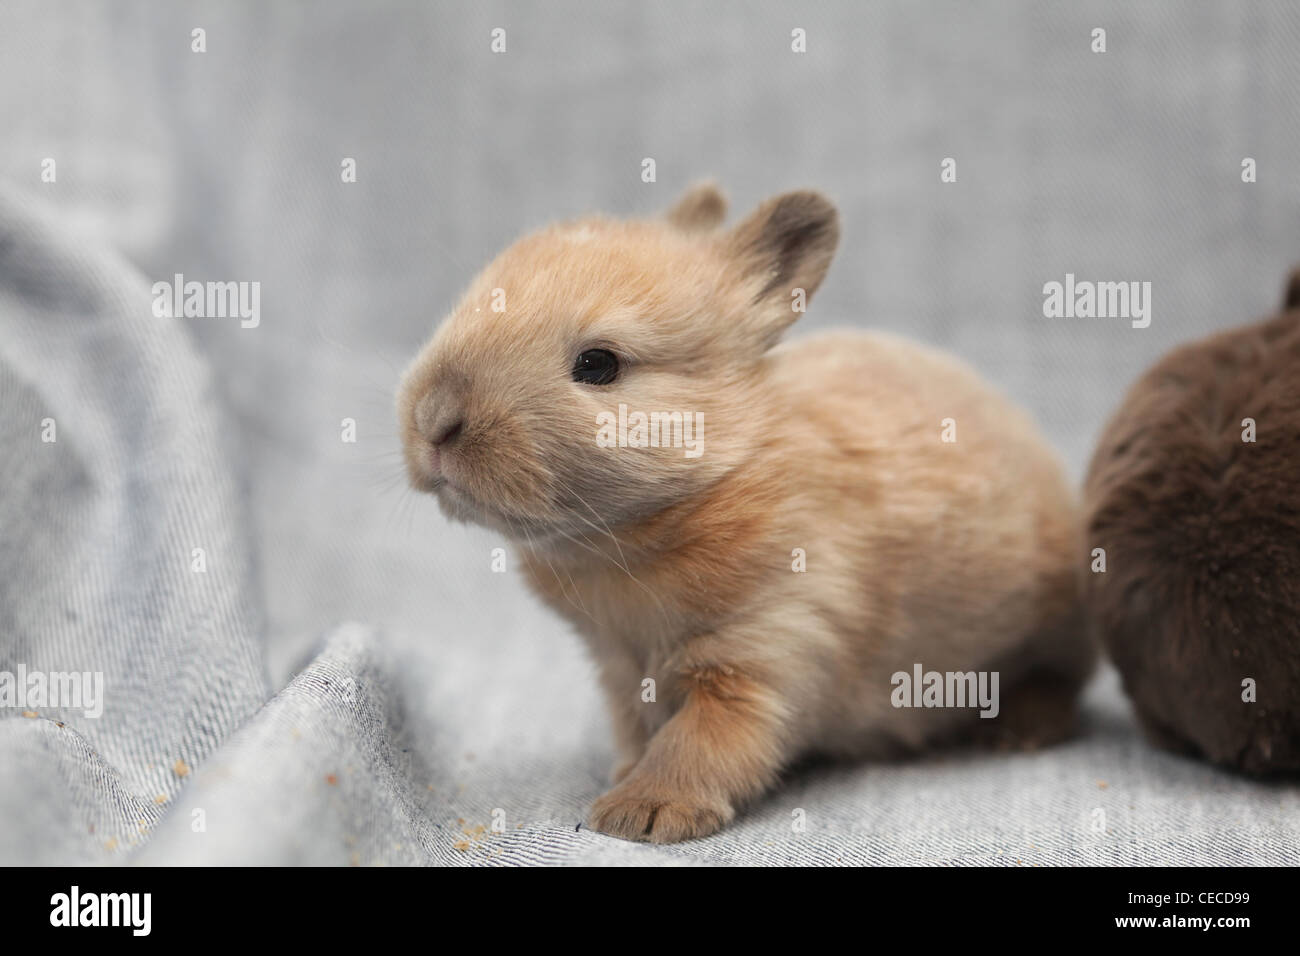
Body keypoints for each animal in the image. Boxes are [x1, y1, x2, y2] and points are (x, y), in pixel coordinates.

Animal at [395, 183, 1097, 842]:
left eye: (598, 364)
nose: (434, 421)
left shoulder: (770, 650)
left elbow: (704, 742)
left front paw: (643, 813)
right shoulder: (621, 673)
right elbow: (637, 727)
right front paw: (625, 777)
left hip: (1054, 628)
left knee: (1061, 679)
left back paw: (1020, 730)